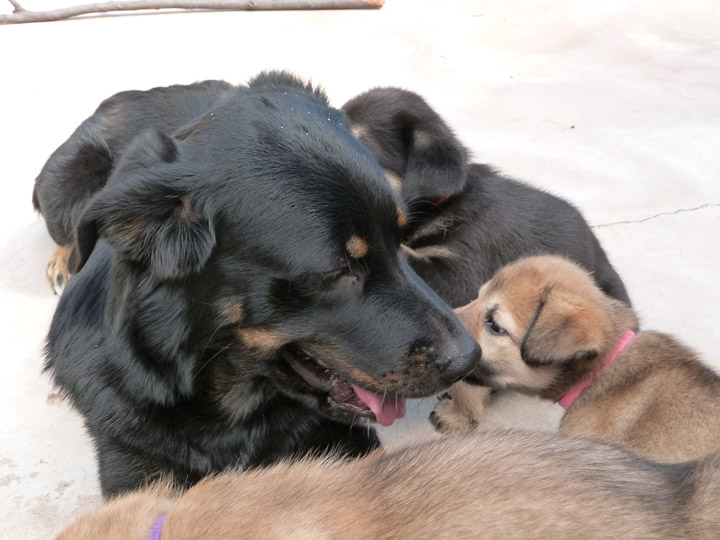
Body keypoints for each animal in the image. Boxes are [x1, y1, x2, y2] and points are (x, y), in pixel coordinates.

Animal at [36, 73, 480, 498]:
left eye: (401, 238)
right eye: (339, 270)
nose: (470, 359)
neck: (233, 399)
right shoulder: (134, 467)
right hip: (65, 183)